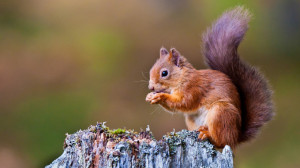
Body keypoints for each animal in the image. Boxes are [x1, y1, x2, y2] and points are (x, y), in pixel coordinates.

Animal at [145, 6, 274, 148]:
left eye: (164, 73)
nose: (151, 87)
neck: (183, 78)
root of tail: (236, 137)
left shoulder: (194, 89)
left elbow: (184, 103)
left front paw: (160, 96)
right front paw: (150, 96)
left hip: (220, 113)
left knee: (221, 141)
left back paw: (207, 134)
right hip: (192, 119)